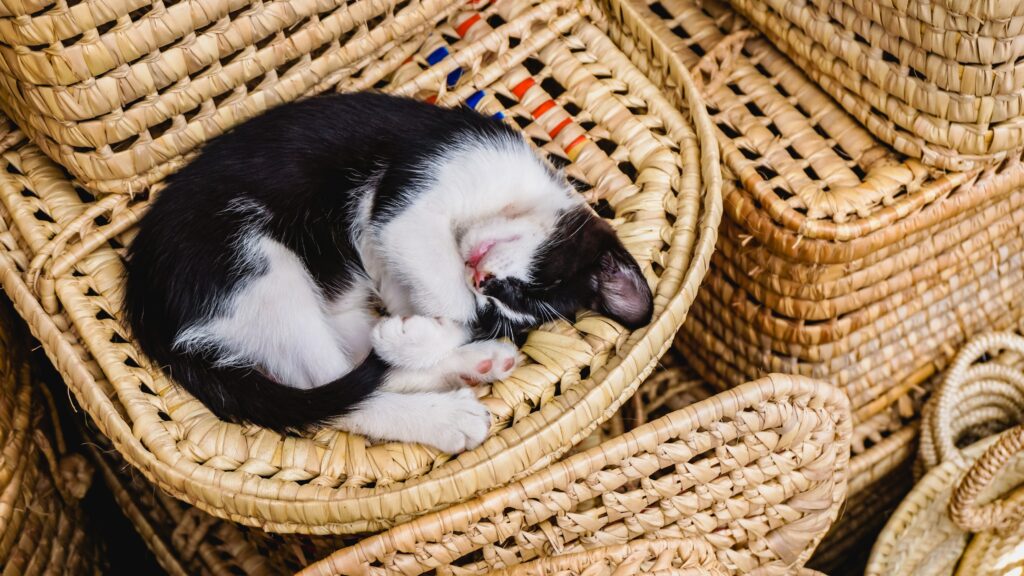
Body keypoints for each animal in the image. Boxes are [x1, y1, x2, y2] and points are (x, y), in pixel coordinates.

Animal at [125, 91, 655, 453]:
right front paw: (430, 331)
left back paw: (472, 363)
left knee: (350, 366)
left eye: (514, 302)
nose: (484, 282)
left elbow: (443, 308)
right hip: (252, 265)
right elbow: (451, 299)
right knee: (327, 388)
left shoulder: (396, 262)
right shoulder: (410, 206)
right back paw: (447, 417)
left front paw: (417, 338)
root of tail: (143, 294)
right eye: (528, 289)